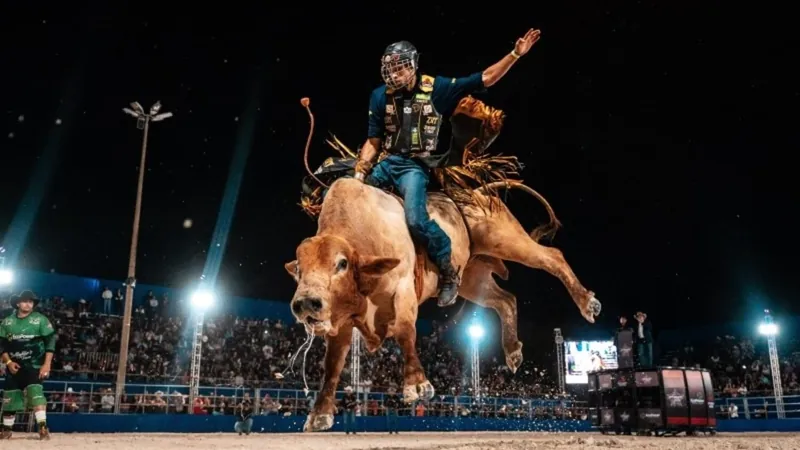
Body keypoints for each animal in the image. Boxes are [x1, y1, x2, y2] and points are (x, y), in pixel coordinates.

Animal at [284, 177, 596, 432]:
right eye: (299, 268)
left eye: (341, 263)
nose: (305, 303)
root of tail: (477, 192)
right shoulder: (342, 321)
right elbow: (333, 363)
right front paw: (319, 415)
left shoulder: (404, 289)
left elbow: (405, 331)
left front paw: (417, 385)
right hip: (471, 276)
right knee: (506, 300)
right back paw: (513, 351)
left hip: (508, 240)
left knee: (552, 257)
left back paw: (588, 303)